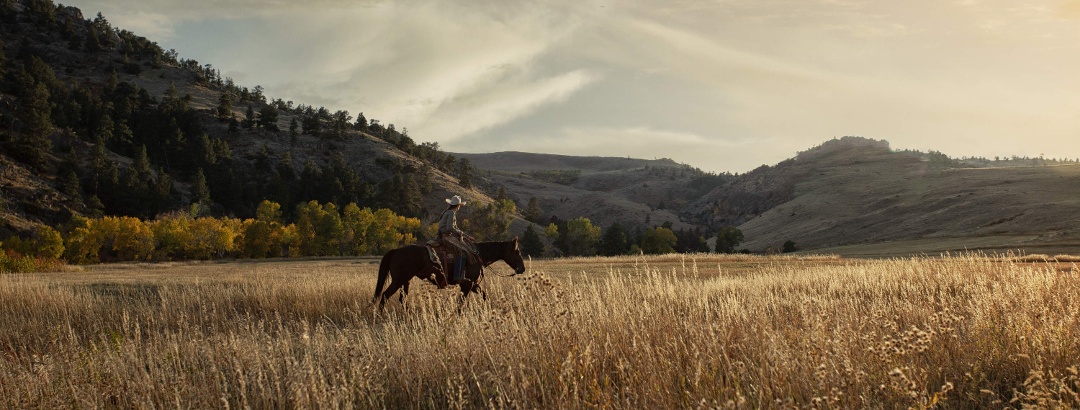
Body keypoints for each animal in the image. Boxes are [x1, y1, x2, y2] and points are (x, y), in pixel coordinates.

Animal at [371, 237, 527, 306]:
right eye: (517, 251)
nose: (522, 269)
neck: (477, 256)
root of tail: (397, 250)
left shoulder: (473, 285)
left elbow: (484, 296)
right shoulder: (467, 285)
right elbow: (461, 303)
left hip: (405, 281)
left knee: (402, 299)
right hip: (398, 280)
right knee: (385, 295)